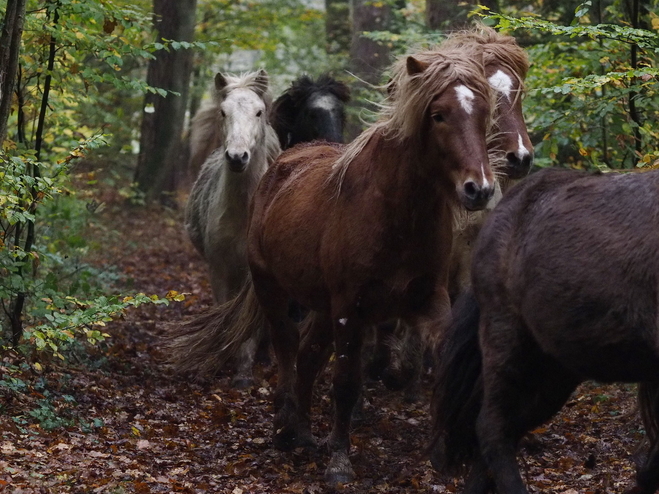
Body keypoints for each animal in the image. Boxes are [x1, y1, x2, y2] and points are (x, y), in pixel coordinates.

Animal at [184, 69, 282, 386]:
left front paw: (244, 371)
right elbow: (224, 312)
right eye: (223, 112)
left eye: (259, 112)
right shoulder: (219, 269)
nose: (237, 157)